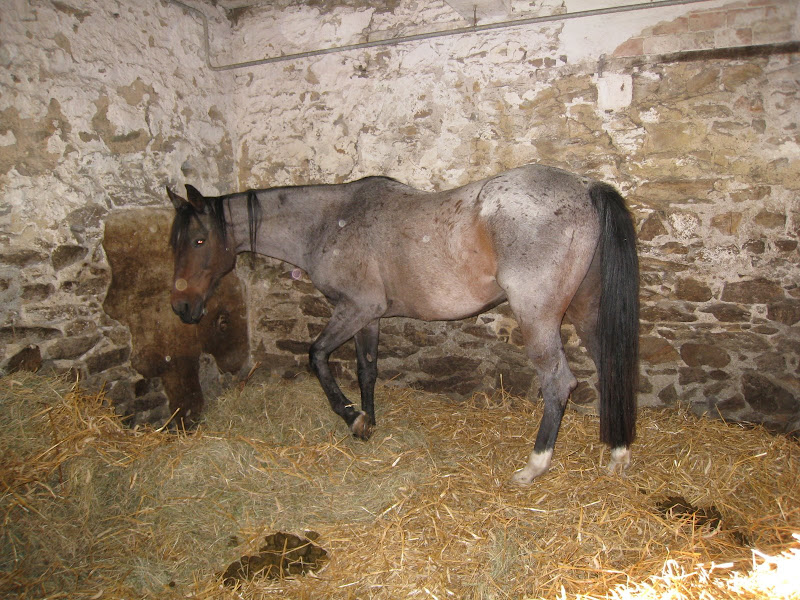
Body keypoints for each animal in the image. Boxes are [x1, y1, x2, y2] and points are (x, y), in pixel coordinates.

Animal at [166, 164, 639, 485]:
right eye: (175, 244)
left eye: (200, 240)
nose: (182, 307)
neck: (330, 222)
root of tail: (585, 187)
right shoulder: (368, 318)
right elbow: (367, 369)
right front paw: (368, 421)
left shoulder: (354, 309)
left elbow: (316, 356)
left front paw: (350, 416)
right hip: (586, 312)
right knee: (610, 367)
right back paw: (618, 453)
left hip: (539, 318)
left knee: (558, 383)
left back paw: (535, 465)